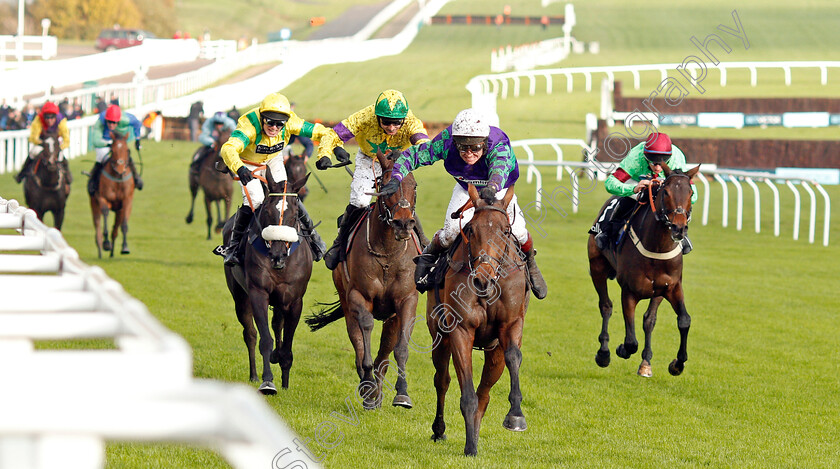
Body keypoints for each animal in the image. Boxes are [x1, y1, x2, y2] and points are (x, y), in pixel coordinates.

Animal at [89, 130, 135, 258]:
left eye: (127, 150)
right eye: (112, 150)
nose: (120, 170)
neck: (117, 179)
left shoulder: (127, 201)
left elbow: (124, 225)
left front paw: (125, 247)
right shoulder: (102, 198)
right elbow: (105, 213)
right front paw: (106, 243)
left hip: (119, 211)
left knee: (115, 229)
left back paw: (112, 253)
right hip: (94, 204)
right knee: (97, 225)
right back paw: (101, 249)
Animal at [221, 166, 314, 394]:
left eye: (295, 214)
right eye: (268, 212)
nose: (278, 256)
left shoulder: (295, 300)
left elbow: (286, 341)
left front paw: (285, 381)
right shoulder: (258, 293)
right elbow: (264, 339)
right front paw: (268, 381)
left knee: (277, 323)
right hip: (240, 296)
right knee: (250, 334)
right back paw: (254, 374)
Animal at [306, 151, 424, 410]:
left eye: (414, 185)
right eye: (386, 185)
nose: (403, 223)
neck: (388, 254)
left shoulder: (406, 300)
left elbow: (400, 347)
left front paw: (402, 393)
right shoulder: (358, 296)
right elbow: (366, 329)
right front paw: (368, 385)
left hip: (390, 317)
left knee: (386, 350)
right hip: (346, 300)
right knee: (357, 338)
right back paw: (368, 388)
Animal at [430, 184, 528, 458]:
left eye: (505, 231)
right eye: (471, 229)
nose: (482, 280)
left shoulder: (511, 325)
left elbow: (513, 356)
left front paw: (516, 416)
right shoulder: (461, 330)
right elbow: (467, 394)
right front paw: (470, 446)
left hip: (493, 352)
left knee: (485, 392)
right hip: (439, 336)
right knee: (442, 380)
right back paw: (439, 430)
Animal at [588, 164, 700, 376]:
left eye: (690, 192)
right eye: (666, 192)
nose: (679, 228)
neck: (656, 247)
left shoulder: (671, 287)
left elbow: (683, 320)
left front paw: (677, 364)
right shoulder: (629, 291)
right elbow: (631, 341)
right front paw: (621, 349)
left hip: (657, 292)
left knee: (649, 320)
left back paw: (646, 362)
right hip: (596, 267)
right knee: (605, 306)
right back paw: (604, 353)